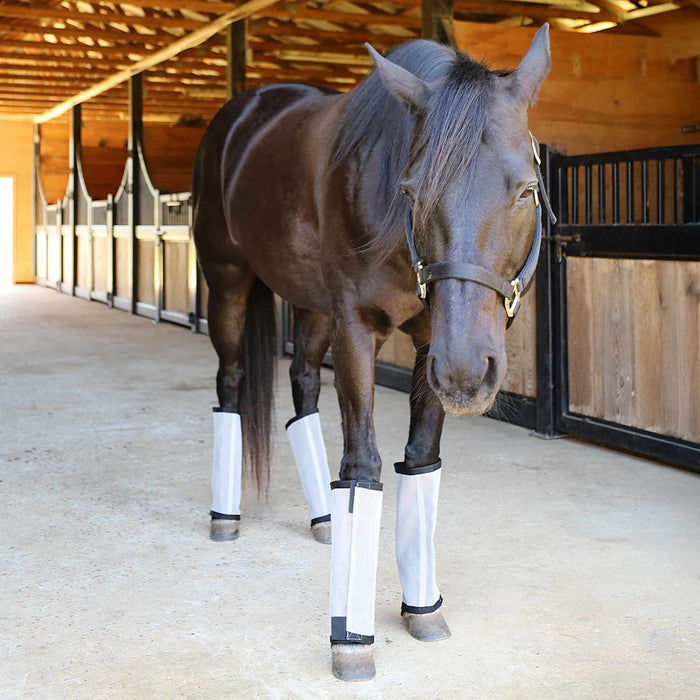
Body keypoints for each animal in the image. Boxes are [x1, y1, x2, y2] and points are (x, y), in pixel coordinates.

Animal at [192, 25, 554, 681]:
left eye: (527, 190)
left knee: (303, 388)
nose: (467, 374)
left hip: (312, 307)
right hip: (227, 285)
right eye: (412, 190)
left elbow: (420, 460)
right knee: (230, 384)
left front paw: (423, 609)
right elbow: (362, 466)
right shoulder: (357, 330)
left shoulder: (432, 344)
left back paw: (324, 520)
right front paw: (350, 640)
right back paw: (224, 518)